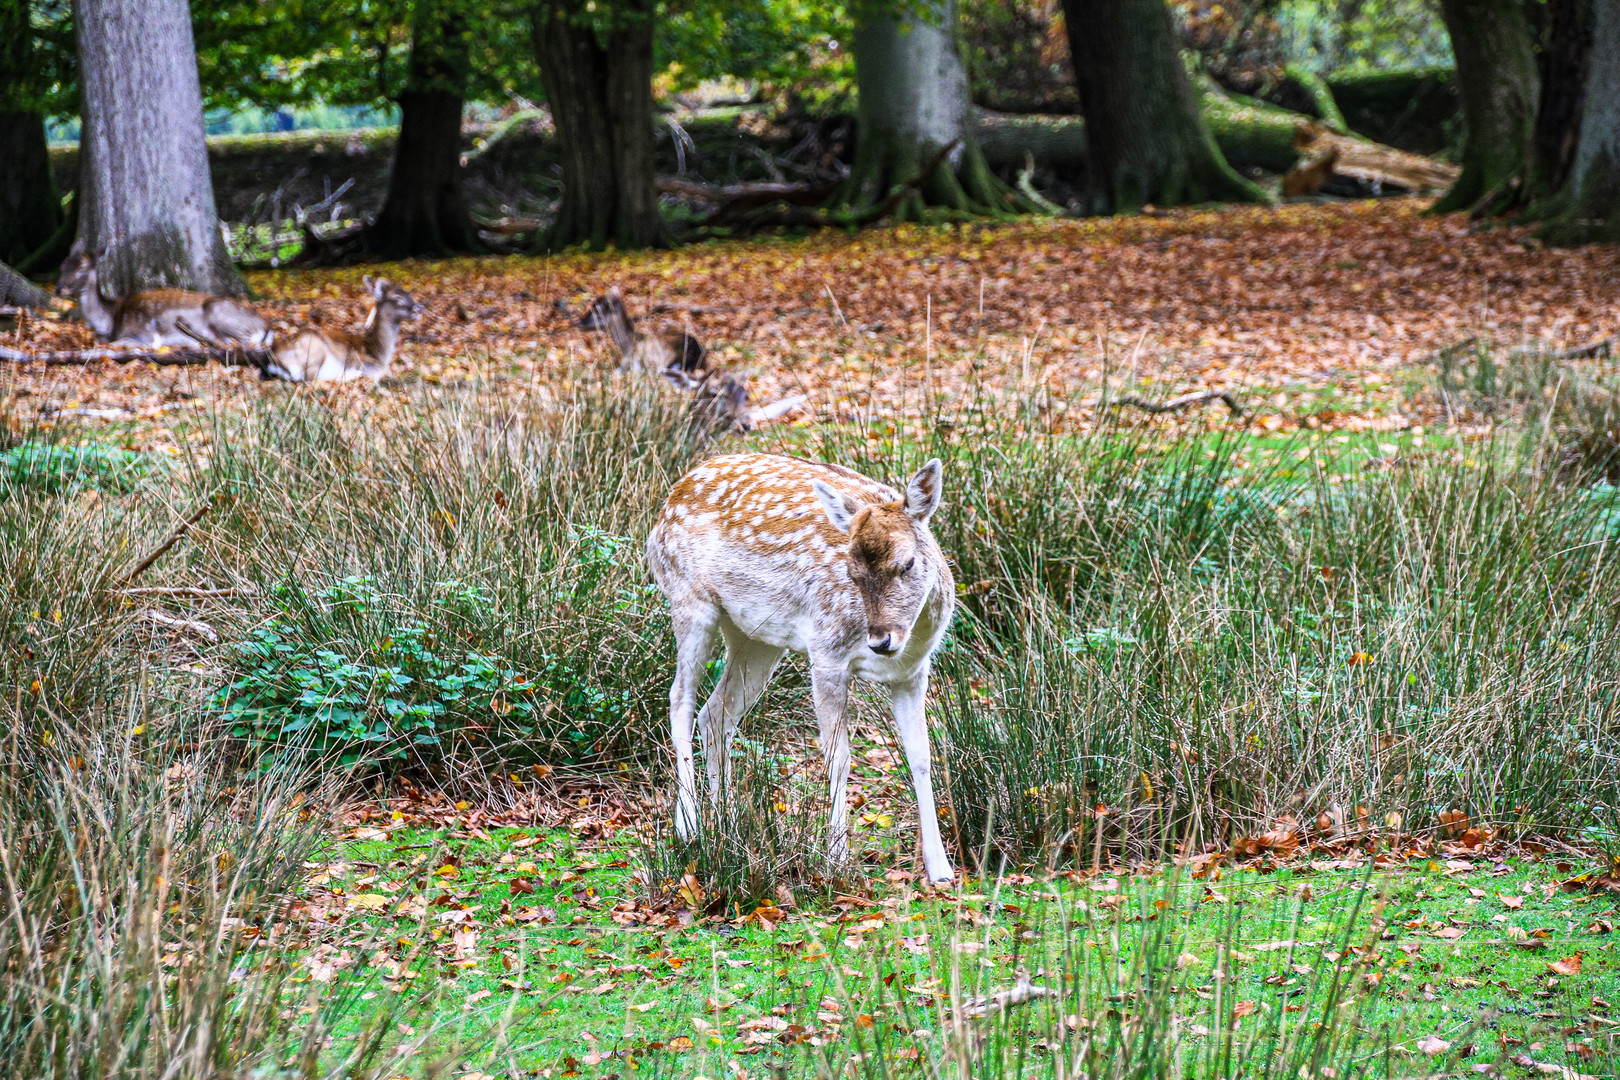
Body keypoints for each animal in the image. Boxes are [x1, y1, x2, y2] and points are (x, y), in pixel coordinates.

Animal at [57, 244, 270, 346]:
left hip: (220, 313)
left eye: (82, 268)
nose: (59, 289)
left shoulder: (145, 334)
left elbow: (113, 344)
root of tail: (265, 326)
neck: (109, 319)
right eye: (63, 264)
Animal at [265, 276, 421, 382]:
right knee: (311, 378)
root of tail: (275, 361)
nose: (419, 308)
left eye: (408, 293)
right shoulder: (370, 366)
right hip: (314, 349)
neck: (379, 352)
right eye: (397, 297)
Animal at [641, 453, 946, 880]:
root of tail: (666, 504)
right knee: (680, 698)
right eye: (851, 573)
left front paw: (941, 868)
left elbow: (921, 756)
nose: (880, 641)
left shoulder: (913, 671)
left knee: (716, 713)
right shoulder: (826, 651)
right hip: (688, 598)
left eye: (908, 564)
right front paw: (837, 858)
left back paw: (727, 826)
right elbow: (838, 757)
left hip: (756, 638)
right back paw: (690, 827)